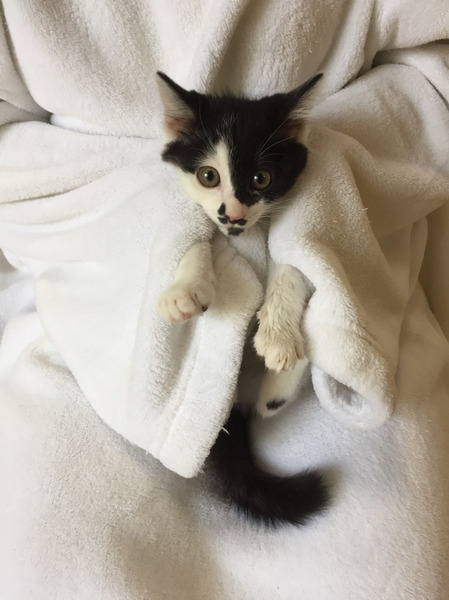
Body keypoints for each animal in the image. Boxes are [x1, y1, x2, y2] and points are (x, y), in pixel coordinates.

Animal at [156, 71, 329, 527]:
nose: (232, 215)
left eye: (261, 179)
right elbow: (201, 239)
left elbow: (293, 265)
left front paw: (278, 336)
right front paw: (185, 290)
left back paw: (277, 389)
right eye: (208, 176)